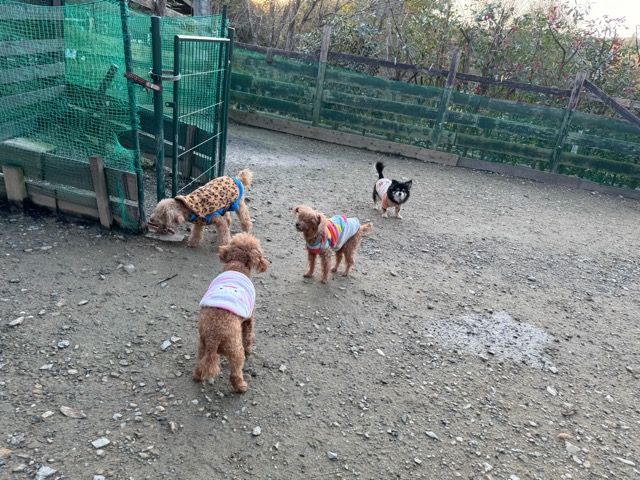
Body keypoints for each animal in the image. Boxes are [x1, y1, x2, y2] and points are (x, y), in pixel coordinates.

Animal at [192, 232, 269, 393]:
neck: (237, 264)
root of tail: (213, 338)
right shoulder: (249, 318)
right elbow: (248, 336)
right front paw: (249, 349)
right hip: (235, 351)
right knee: (235, 372)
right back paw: (241, 387)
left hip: (202, 345)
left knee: (200, 364)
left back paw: (197, 376)